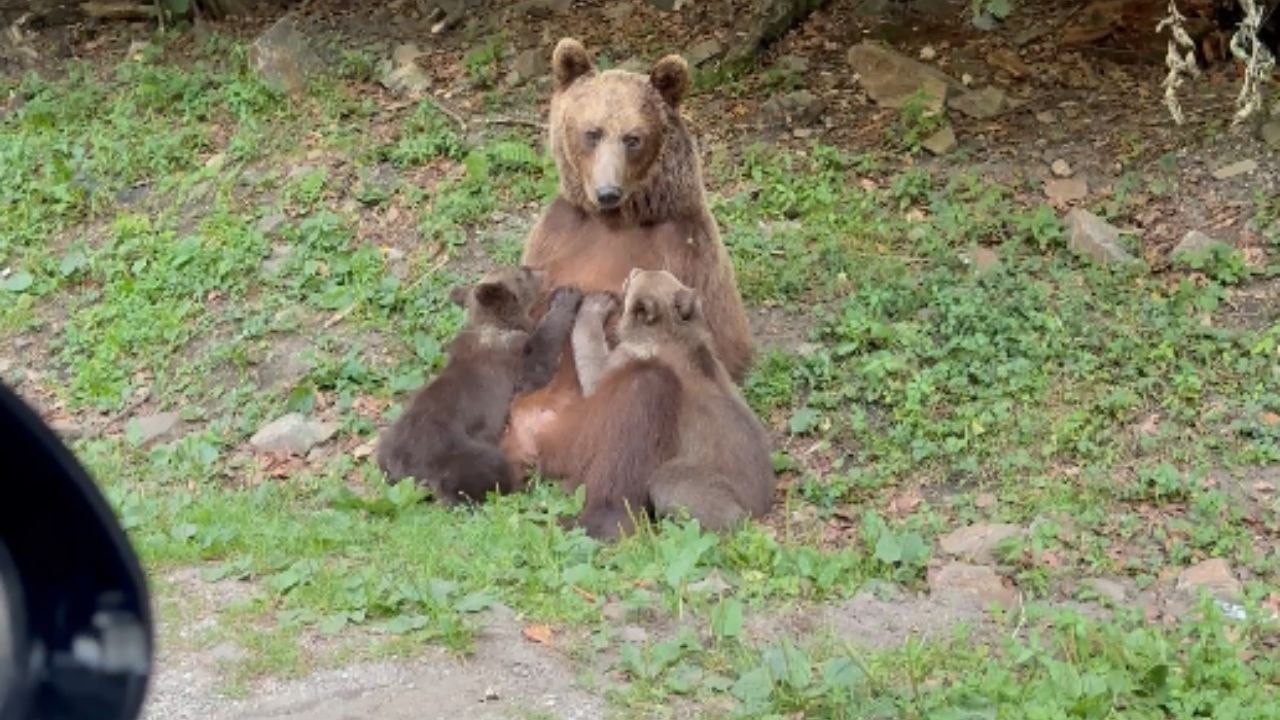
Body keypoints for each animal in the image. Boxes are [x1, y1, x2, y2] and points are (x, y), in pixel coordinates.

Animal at [500, 37, 755, 480]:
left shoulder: (686, 245)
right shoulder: (557, 233)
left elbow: (721, 343)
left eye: (633, 137)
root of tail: (536, 440)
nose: (607, 192)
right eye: (592, 132)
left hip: (588, 426)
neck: (620, 220)